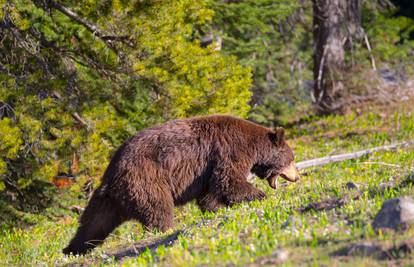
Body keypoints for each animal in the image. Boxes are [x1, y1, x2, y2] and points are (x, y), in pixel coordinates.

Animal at [62, 114, 300, 255]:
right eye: (292, 158)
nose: (297, 177)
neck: (253, 146)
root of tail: (111, 175)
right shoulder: (229, 150)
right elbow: (229, 181)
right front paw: (260, 196)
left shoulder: (206, 170)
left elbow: (210, 194)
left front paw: (215, 208)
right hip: (147, 180)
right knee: (158, 209)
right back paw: (165, 229)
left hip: (107, 199)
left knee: (93, 223)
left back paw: (71, 248)